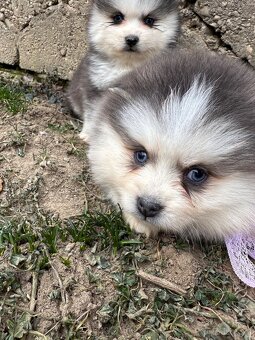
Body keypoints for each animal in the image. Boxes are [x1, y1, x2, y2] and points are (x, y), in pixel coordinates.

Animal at [66, 0, 180, 141]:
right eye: (117, 18)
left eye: (149, 20)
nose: (131, 39)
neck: (127, 65)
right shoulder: (94, 86)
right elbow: (93, 113)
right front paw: (89, 134)